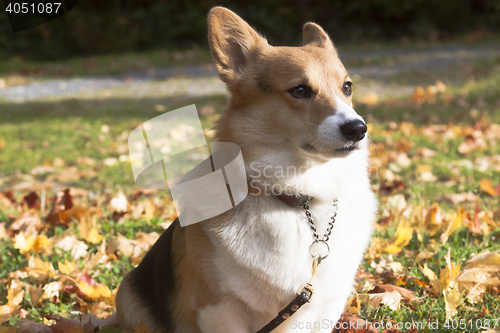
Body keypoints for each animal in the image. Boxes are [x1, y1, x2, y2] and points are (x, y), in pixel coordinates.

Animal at [116, 6, 376, 330]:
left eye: (347, 87)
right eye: (300, 90)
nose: (358, 129)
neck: (298, 198)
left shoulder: (325, 308)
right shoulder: (219, 309)